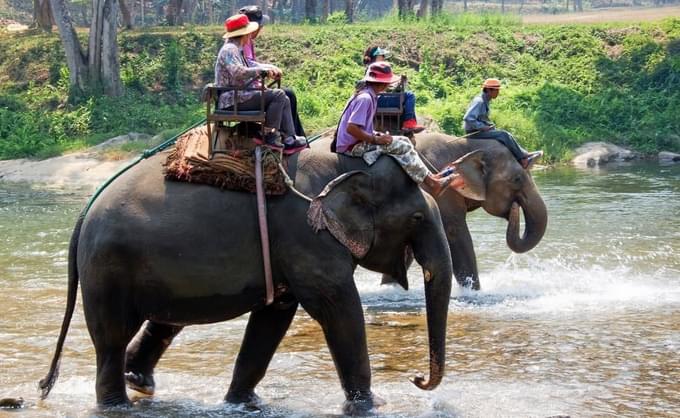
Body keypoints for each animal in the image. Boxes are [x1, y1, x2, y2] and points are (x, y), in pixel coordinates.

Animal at [38, 148, 484, 414]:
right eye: (417, 218)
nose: (417, 379)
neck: (343, 165)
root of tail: (85, 213)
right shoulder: (307, 236)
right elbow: (337, 307)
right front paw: (372, 406)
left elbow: (274, 316)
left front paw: (244, 403)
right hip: (108, 270)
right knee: (111, 337)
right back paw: (118, 405)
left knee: (164, 321)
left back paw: (140, 383)